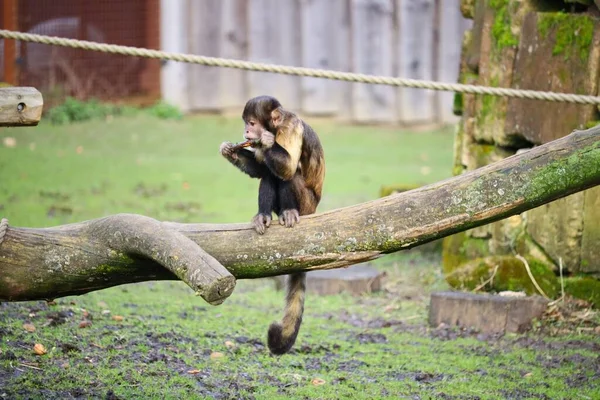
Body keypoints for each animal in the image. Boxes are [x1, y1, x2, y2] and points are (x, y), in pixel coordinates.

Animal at [219, 95, 326, 354]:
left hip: (308, 206)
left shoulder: (290, 127)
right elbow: (260, 170)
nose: (247, 131)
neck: (275, 128)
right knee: (269, 173)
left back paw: (289, 212)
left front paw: (268, 142)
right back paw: (263, 216)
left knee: (288, 173)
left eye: (252, 123)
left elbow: (286, 167)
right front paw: (229, 151)